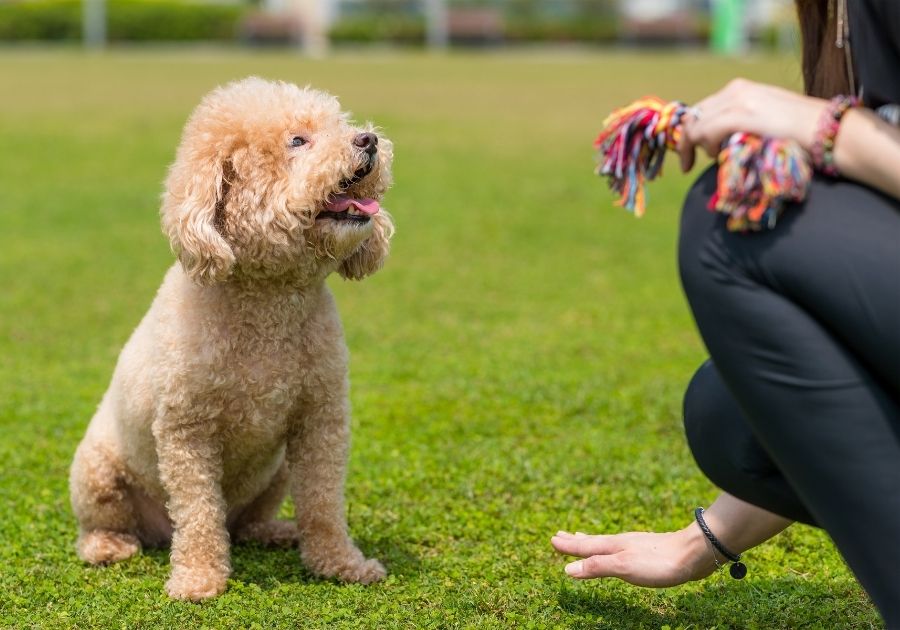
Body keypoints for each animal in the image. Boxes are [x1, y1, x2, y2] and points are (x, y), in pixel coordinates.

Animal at [70, 78, 394, 604]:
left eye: (339, 125)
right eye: (297, 141)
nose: (367, 140)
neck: (270, 298)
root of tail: (159, 532)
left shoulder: (321, 419)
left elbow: (324, 503)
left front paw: (341, 564)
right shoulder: (187, 432)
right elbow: (200, 511)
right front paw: (199, 579)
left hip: (277, 471)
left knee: (245, 523)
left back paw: (275, 532)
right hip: (96, 473)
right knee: (109, 522)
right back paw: (108, 546)